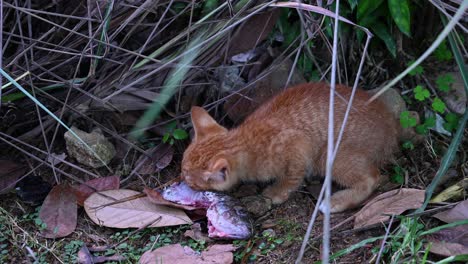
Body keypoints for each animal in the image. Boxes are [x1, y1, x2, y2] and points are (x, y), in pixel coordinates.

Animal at [179, 82, 398, 212]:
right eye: (182, 169)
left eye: (192, 182)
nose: (181, 179)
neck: (245, 141)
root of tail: (390, 128)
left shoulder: (298, 145)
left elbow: (292, 177)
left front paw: (277, 192)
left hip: (330, 154)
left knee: (371, 177)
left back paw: (336, 201)